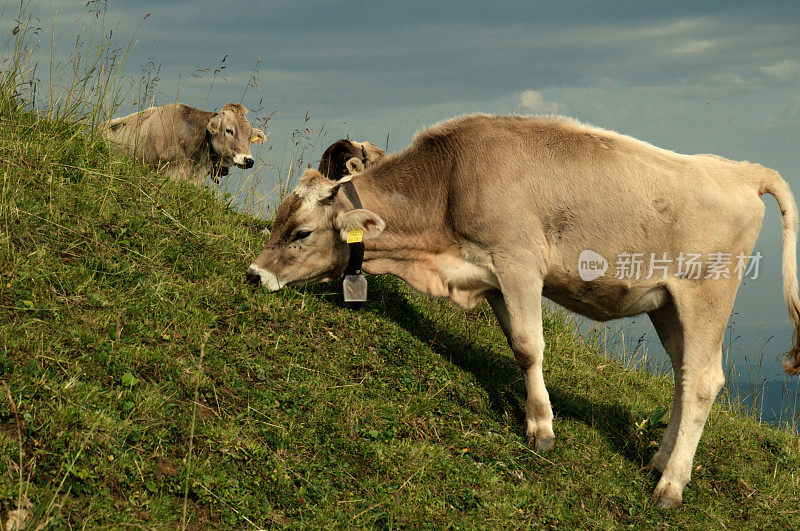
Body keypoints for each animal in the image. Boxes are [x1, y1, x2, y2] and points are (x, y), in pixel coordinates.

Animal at [245, 114, 800, 510]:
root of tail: (739, 171)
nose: (254, 274)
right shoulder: (491, 277)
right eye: (278, 218)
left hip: (706, 294)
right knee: (685, 377)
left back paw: (670, 488)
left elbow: (532, 347)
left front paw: (541, 431)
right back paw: (659, 464)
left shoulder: (519, 264)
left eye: (301, 233)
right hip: (667, 305)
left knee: (704, 380)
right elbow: (516, 345)